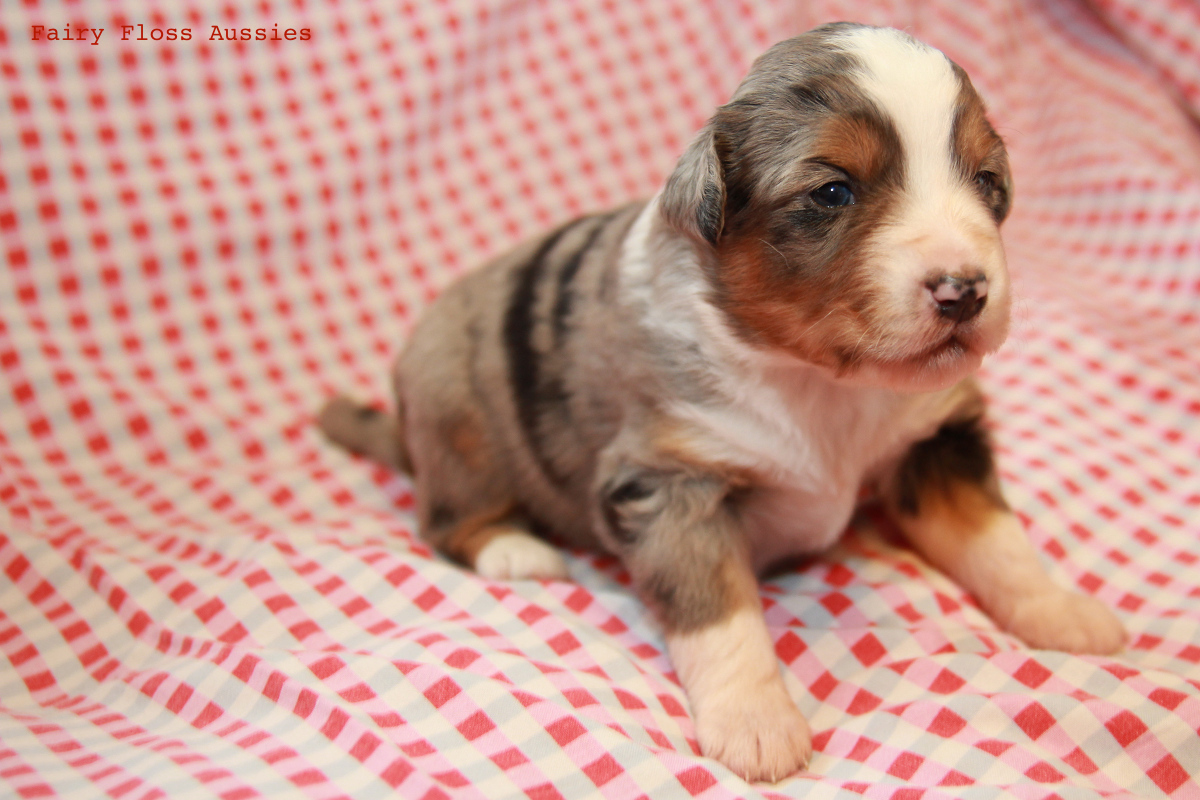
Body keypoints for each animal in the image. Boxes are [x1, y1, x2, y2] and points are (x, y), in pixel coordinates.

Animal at [319, 23, 1123, 782]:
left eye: (987, 181)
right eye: (833, 192)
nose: (965, 290)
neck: (821, 383)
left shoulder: (935, 443)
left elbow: (995, 538)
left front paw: (1061, 612)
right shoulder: (669, 480)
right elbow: (719, 611)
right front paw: (756, 723)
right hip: (458, 423)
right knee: (447, 518)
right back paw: (516, 549)